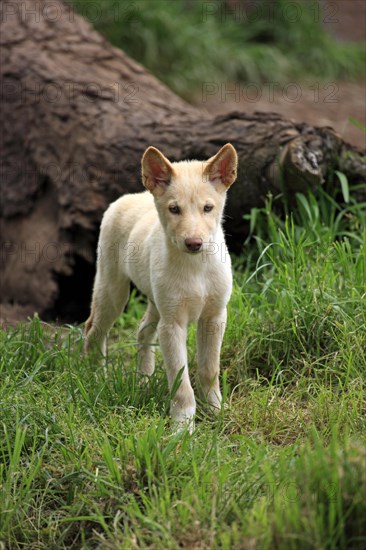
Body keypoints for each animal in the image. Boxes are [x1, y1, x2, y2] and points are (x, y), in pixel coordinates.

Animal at [86, 144, 239, 434]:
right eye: (174, 209)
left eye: (208, 208)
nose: (194, 243)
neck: (195, 267)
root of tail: (131, 196)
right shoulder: (173, 324)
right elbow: (181, 384)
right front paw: (182, 428)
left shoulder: (215, 317)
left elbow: (209, 370)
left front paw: (216, 412)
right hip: (113, 290)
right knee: (93, 330)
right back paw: (94, 377)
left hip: (156, 302)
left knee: (142, 331)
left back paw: (144, 380)